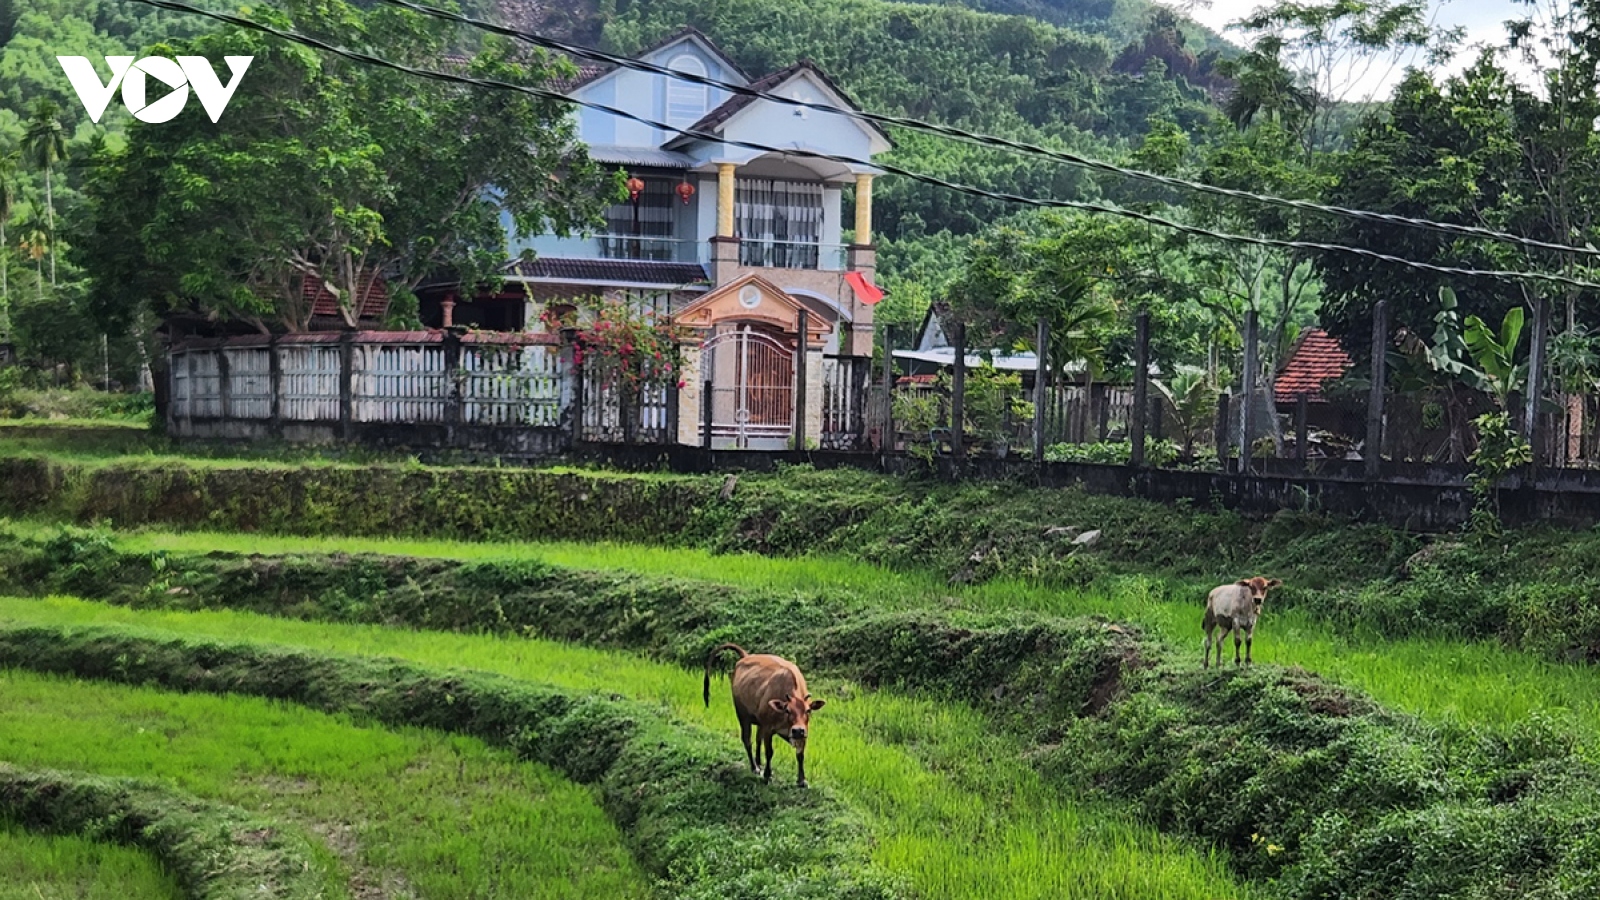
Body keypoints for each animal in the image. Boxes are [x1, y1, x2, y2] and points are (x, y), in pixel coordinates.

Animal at [700, 637, 825, 784]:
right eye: (787, 710)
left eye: (808, 711)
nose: (798, 730)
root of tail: (746, 656)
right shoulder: (769, 729)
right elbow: (769, 751)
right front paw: (767, 774)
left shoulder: (803, 732)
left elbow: (800, 754)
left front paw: (801, 780)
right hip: (743, 716)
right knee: (747, 740)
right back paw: (755, 767)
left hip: (760, 722)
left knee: (757, 739)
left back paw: (758, 762)